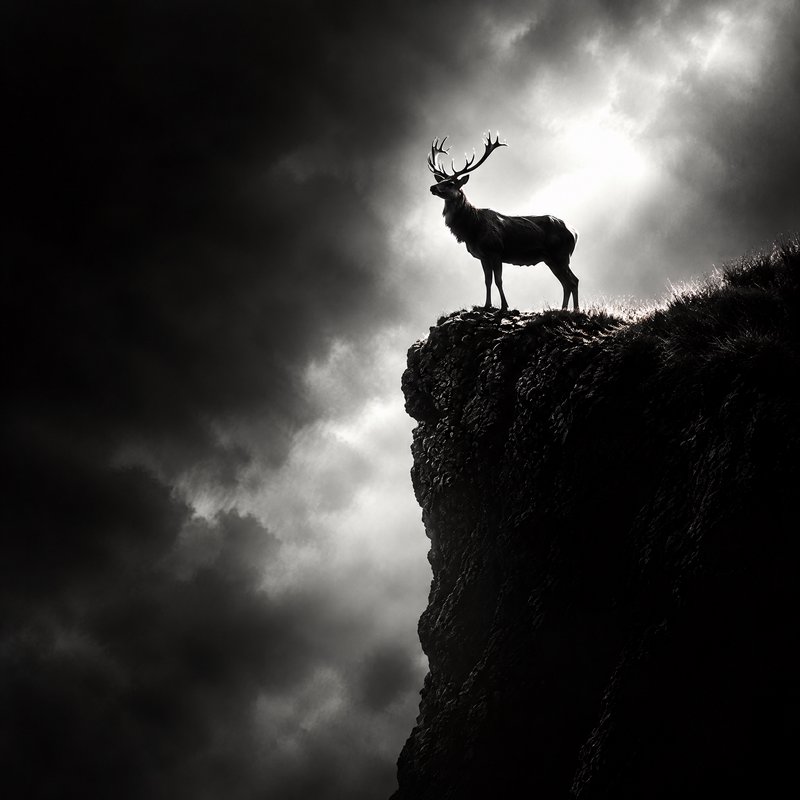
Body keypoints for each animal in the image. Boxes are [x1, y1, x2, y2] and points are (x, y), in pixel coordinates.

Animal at [428, 133, 580, 311]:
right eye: (440, 181)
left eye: (451, 183)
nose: (432, 187)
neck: (472, 230)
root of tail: (575, 232)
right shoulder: (483, 256)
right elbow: (487, 281)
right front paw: (487, 305)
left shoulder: (496, 251)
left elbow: (498, 281)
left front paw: (504, 306)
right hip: (550, 259)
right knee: (566, 283)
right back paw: (564, 309)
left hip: (561, 254)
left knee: (573, 281)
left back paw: (575, 310)